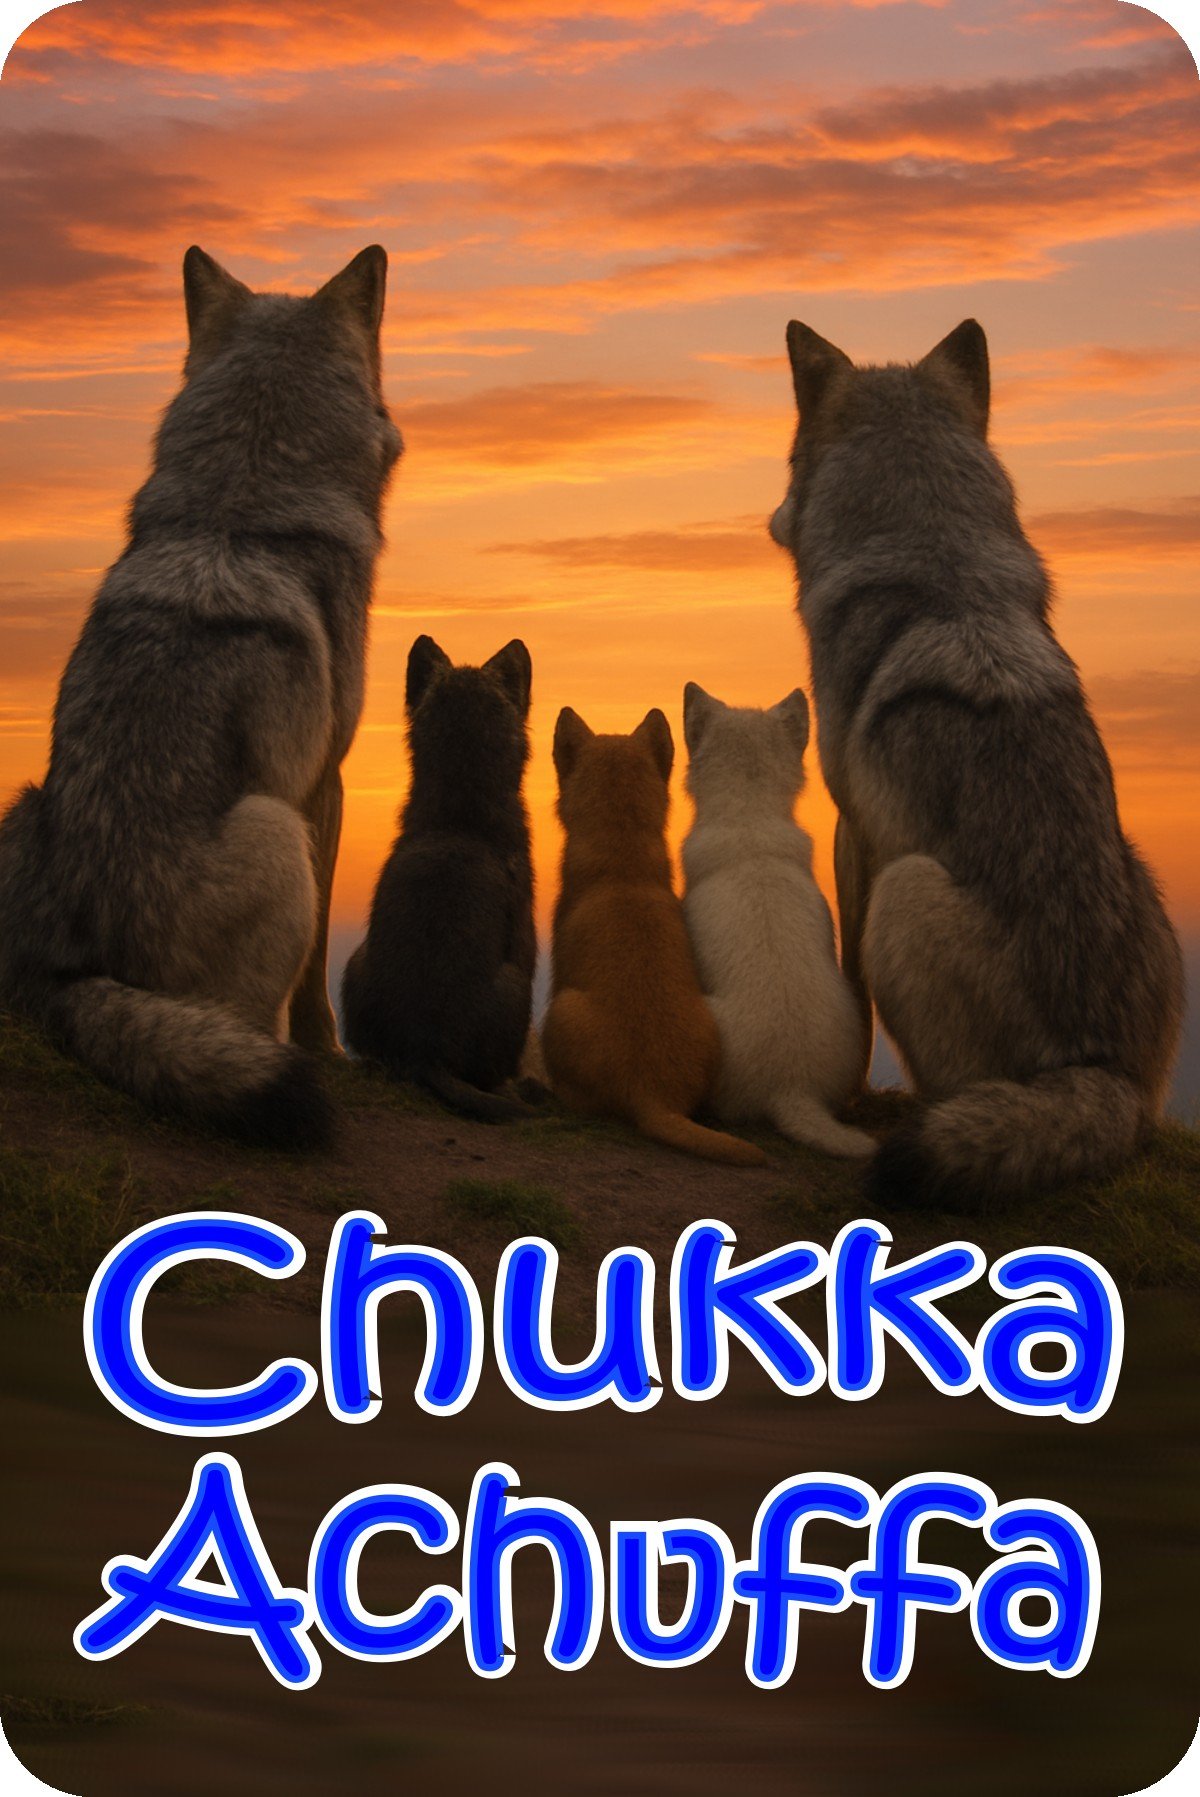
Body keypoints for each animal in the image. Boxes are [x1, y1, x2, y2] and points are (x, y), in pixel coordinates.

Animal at [0, 245, 402, 1146]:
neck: (238, 508)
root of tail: (65, 976)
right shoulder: (324, 785)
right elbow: (318, 970)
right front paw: (332, 1051)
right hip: (275, 829)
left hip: (23, 801)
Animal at [769, 317, 1183, 1206]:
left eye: (789, 456)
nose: (772, 517)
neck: (940, 561)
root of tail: (1105, 1073)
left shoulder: (854, 830)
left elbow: (850, 987)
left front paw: (847, 1095)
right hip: (1149, 882)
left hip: (907, 888)